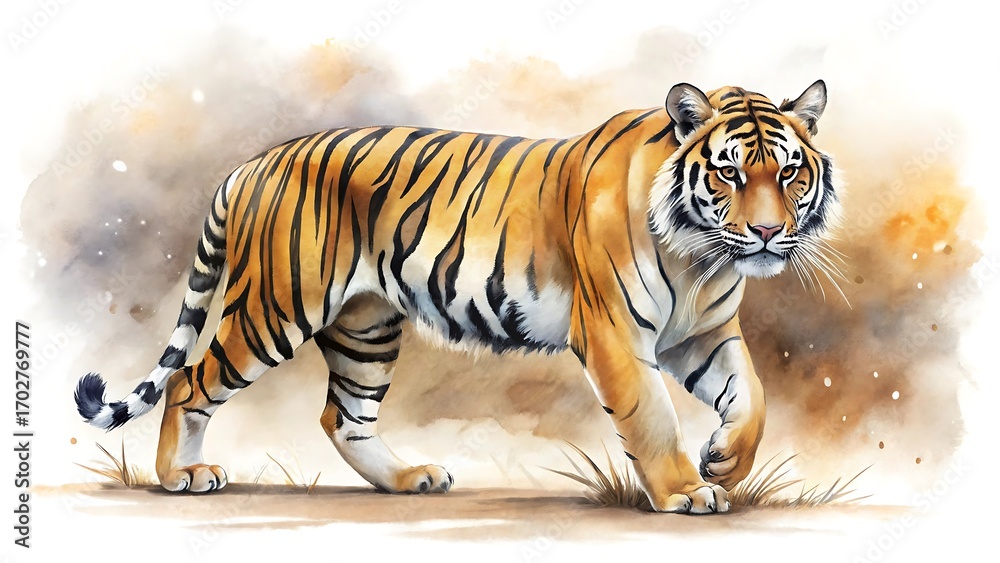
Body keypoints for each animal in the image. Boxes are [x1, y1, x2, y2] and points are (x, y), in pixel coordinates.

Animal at [74, 79, 837, 514]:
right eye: (731, 173)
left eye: (789, 173)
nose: (768, 233)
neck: (700, 258)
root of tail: (254, 162)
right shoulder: (615, 333)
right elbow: (651, 416)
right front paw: (685, 489)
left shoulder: (702, 334)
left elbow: (752, 397)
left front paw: (725, 460)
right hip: (276, 308)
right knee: (191, 379)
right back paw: (181, 475)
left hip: (366, 327)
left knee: (342, 416)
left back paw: (409, 478)